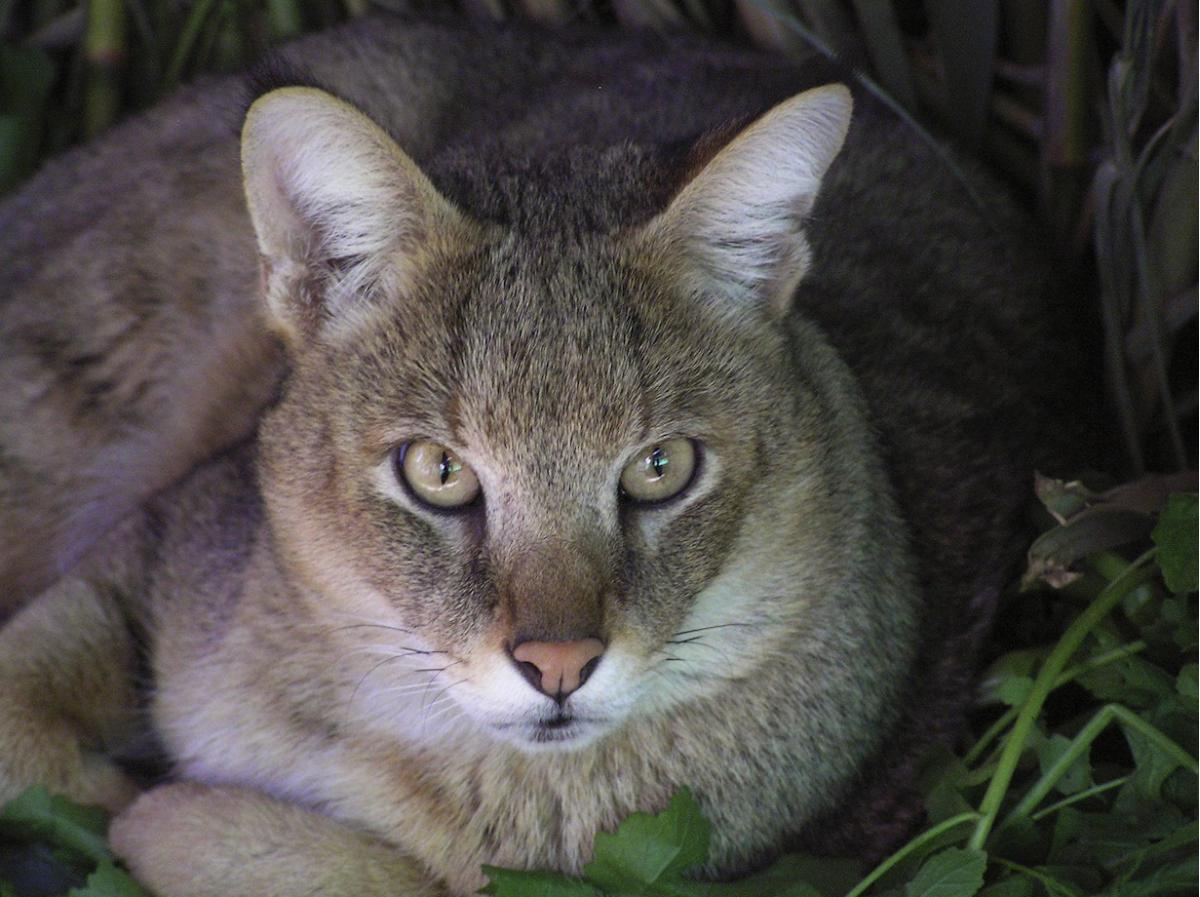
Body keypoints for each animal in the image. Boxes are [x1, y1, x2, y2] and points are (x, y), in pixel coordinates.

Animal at [0, 8, 1070, 897]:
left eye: (660, 467)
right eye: (438, 472)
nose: (559, 664)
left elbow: (378, 873)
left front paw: (166, 817)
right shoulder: (161, 534)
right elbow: (20, 706)